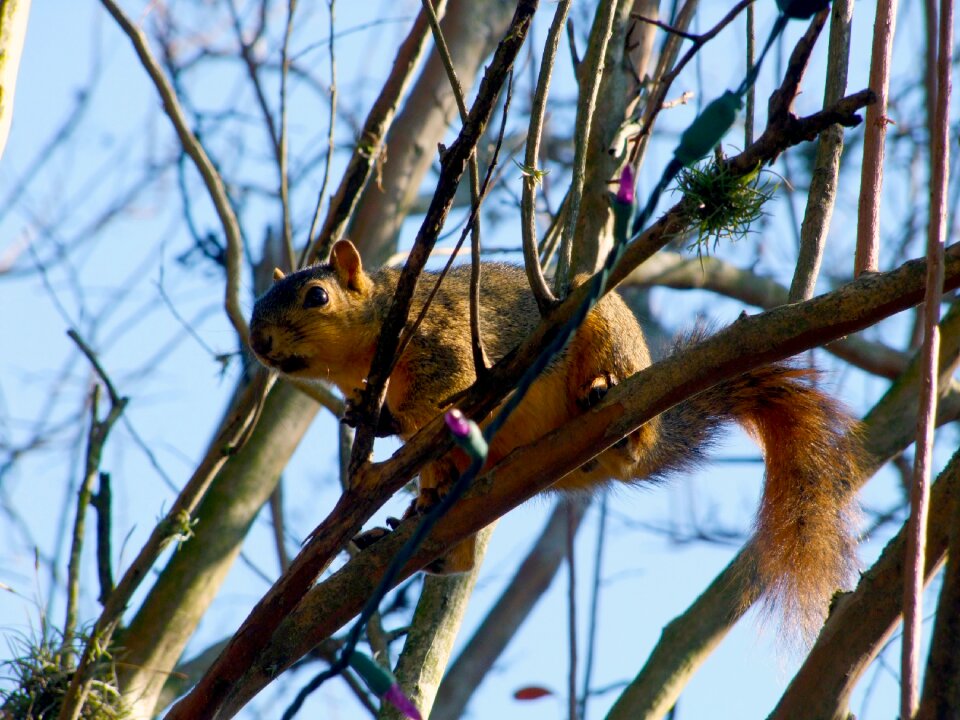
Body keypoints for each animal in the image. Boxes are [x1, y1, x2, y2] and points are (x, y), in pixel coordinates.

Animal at [248, 239, 864, 640]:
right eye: (256, 303)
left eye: (317, 296)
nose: (258, 341)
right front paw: (364, 416)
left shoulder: (443, 339)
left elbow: (448, 390)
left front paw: (401, 423)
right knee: (458, 536)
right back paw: (420, 523)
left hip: (606, 333)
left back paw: (606, 397)